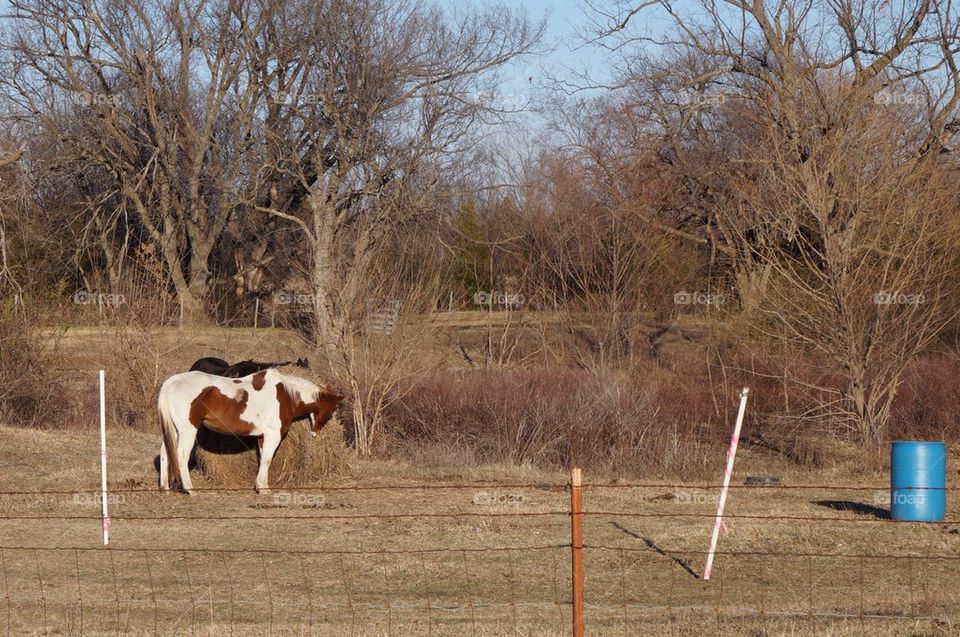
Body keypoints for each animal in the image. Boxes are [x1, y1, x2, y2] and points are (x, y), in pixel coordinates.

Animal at [155, 368, 342, 492]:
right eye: (331, 411)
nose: (315, 432)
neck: (286, 394)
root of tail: (171, 382)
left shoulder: (262, 436)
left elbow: (264, 459)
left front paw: (262, 485)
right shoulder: (273, 435)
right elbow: (267, 459)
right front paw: (262, 488)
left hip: (175, 430)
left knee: (166, 452)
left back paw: (165, 487)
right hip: (187, 430)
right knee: (181, 455)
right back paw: (189, 488)